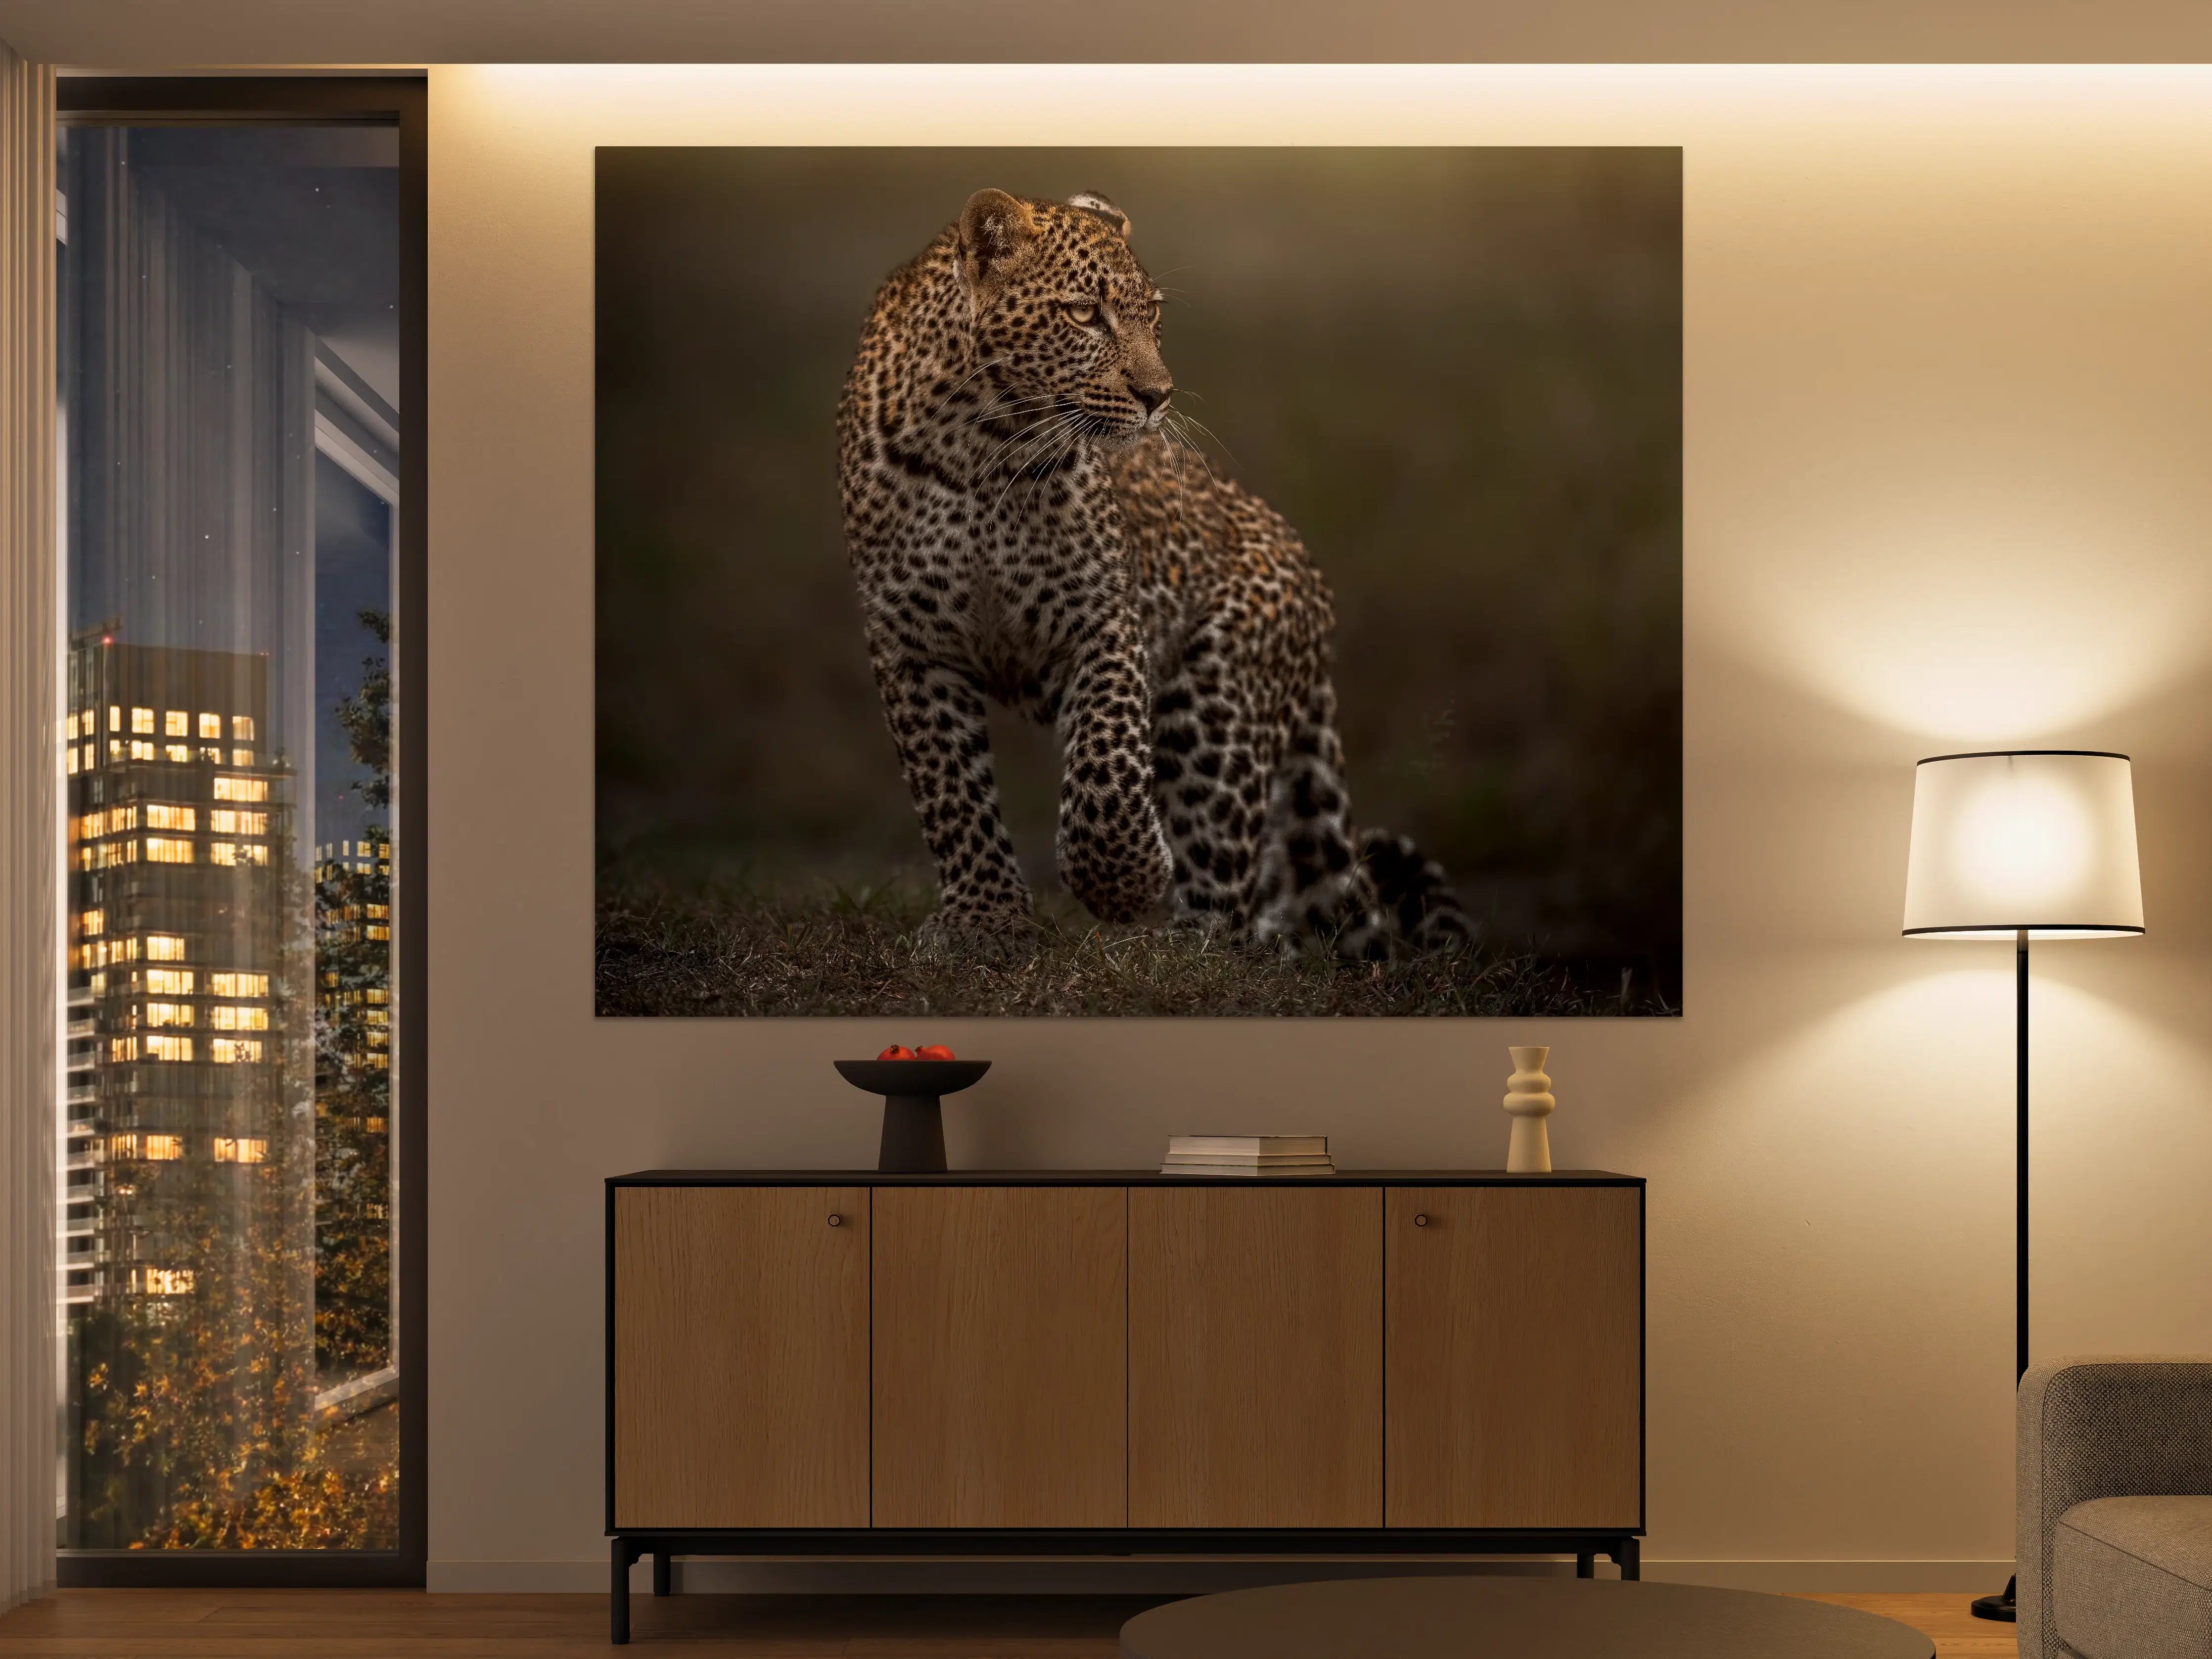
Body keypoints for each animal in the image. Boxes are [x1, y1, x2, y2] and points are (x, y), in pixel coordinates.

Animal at [836, 186, 1469, 958]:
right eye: (1085, 314)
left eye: (1153, 315)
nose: (1158, 395)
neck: (981, 447)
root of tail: (1313, 588)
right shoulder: (910, 643)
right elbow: (949, 789)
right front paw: (986, 919)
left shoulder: (1103, 617)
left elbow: (1107, 763)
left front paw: (1124, 879)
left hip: (1215, 706)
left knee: (1226, 892)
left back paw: (1182, 949)